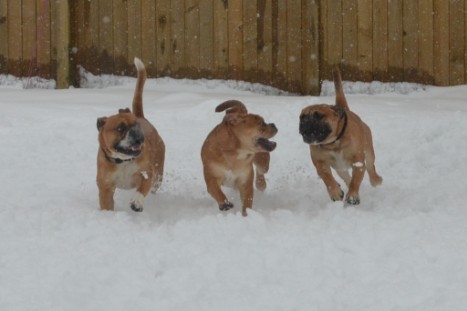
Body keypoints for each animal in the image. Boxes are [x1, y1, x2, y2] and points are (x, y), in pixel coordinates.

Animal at [96, 57, 165, 213]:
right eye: (120, 128)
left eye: (136, 125)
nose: (138, 135)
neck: (123, 161)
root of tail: (141, 116)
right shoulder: (105, 187)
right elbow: (106, 204)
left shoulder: (147, 174)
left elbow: (141, 190)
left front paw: (137, 202)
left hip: (158, 174)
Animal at [300, 68, 384, 205]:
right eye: (302, 117)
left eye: (319, 116)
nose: (306, 122)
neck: (333, 143)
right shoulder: (320, 163)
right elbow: (327, 178)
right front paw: (335, 192)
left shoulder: (358, 162)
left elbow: (356, 180)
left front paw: (353, 196)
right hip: (340, 167)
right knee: (346, 176)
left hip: (369, 151)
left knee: (371, 167)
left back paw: (376, 180)